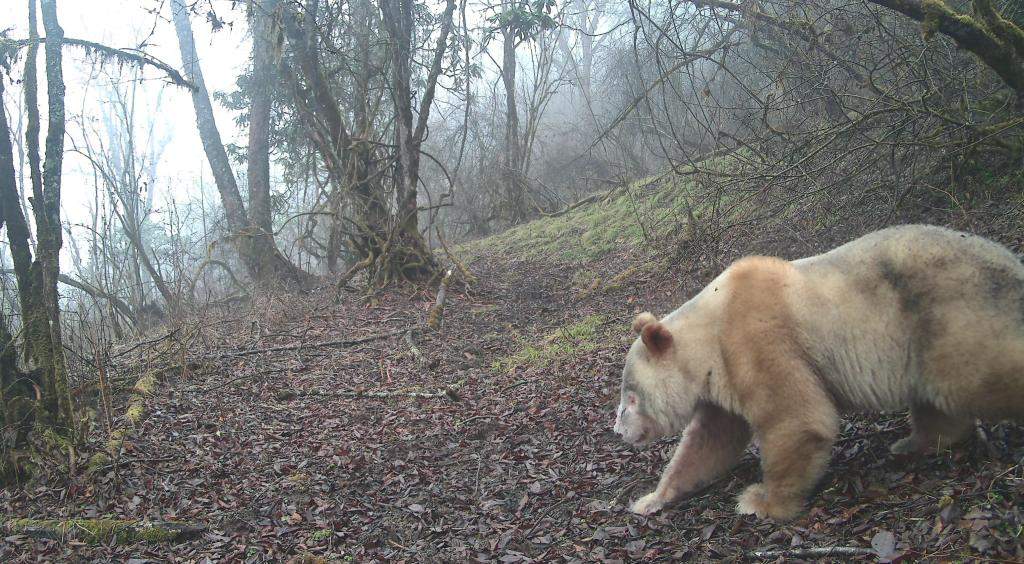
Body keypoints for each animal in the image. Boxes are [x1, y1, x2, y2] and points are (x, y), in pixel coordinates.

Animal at [612, 224, 1024, 521]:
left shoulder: (758, 340)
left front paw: (760, 501)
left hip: (949, 310)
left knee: (980, 373)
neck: (711, 326)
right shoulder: (721, 375)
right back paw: (914, 443)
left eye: (629, 398)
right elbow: (709, 442)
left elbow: (797, 418)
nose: (618, 431)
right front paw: (650, 499)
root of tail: (1011, 263)